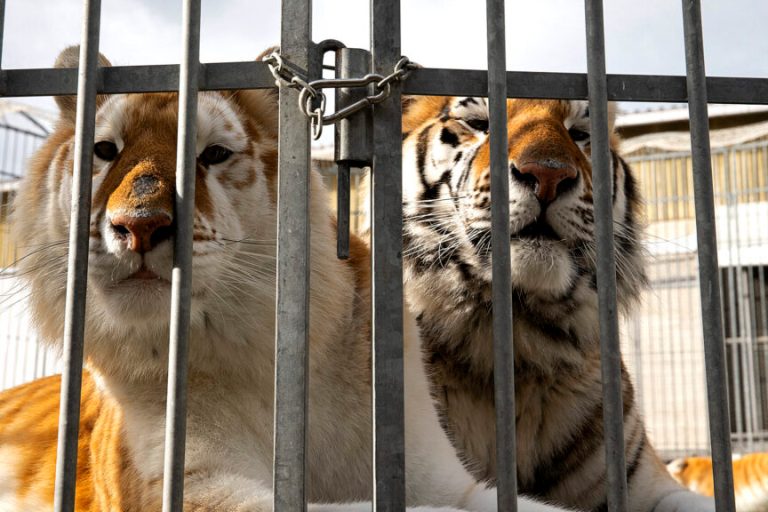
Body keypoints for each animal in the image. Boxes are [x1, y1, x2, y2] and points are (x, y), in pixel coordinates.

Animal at [0, 47, 575, 512]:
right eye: (104, 151)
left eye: (212, 154)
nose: (138, 226)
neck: (263, 360)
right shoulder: (196, 485)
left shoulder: (437, 475)